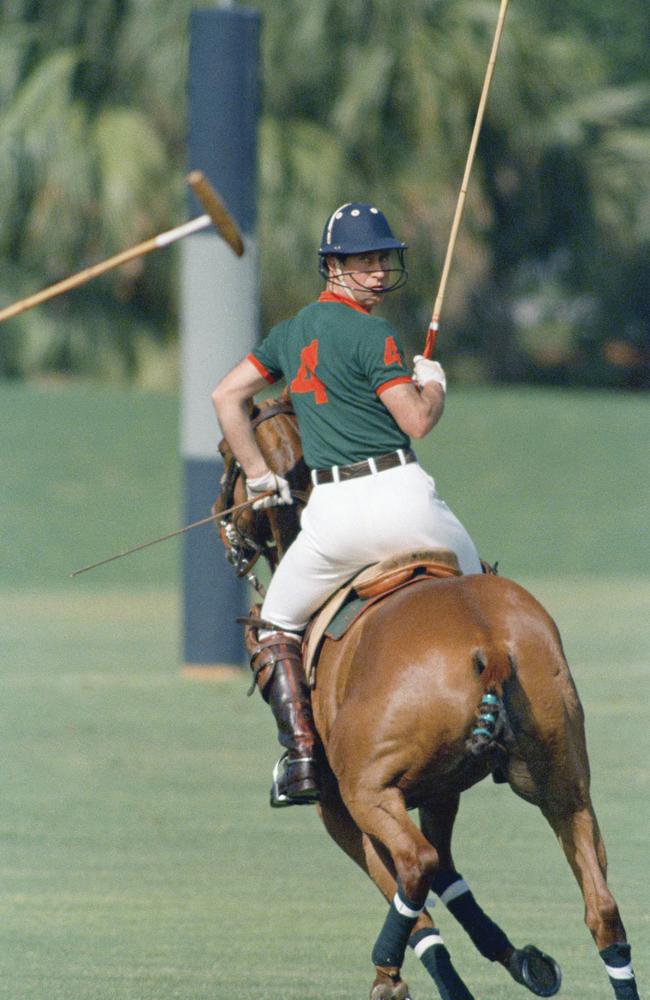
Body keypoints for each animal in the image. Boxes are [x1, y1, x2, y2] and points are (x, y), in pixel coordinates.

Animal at [214, 396, 636, 1000]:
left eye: (225, 455)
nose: (221, 525)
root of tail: (491, 642)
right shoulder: (442, 791)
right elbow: (449, 874)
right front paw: (523, 959)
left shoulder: (341, 810)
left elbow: (416, 883)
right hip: (565, 782)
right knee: (602, 908)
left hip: (367, 791)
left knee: (416, 864)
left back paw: (388, 971)